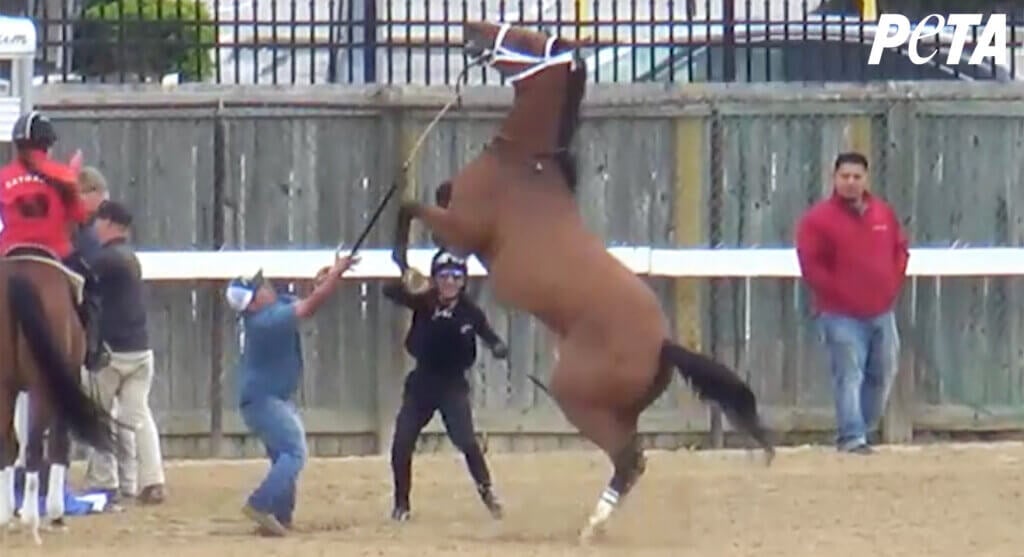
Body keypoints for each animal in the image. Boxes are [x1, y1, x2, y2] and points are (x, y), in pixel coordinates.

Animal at [0, 247, 119, 544]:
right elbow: (59, 445)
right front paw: (55, 514)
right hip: (42, 388)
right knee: (34, 449)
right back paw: (31, 520)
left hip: (5, 387)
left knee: (7, 445)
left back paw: (6, 517)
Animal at [393, 22, 774, 544]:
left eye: (529, 40)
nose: (472, 30)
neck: (523, 167)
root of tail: (662, 344)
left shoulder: (461, 231)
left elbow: (408, 207)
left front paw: (400, 263)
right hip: (619, 411)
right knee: (630, 458)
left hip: (578, 398)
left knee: (631, 460)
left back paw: (591, 527)